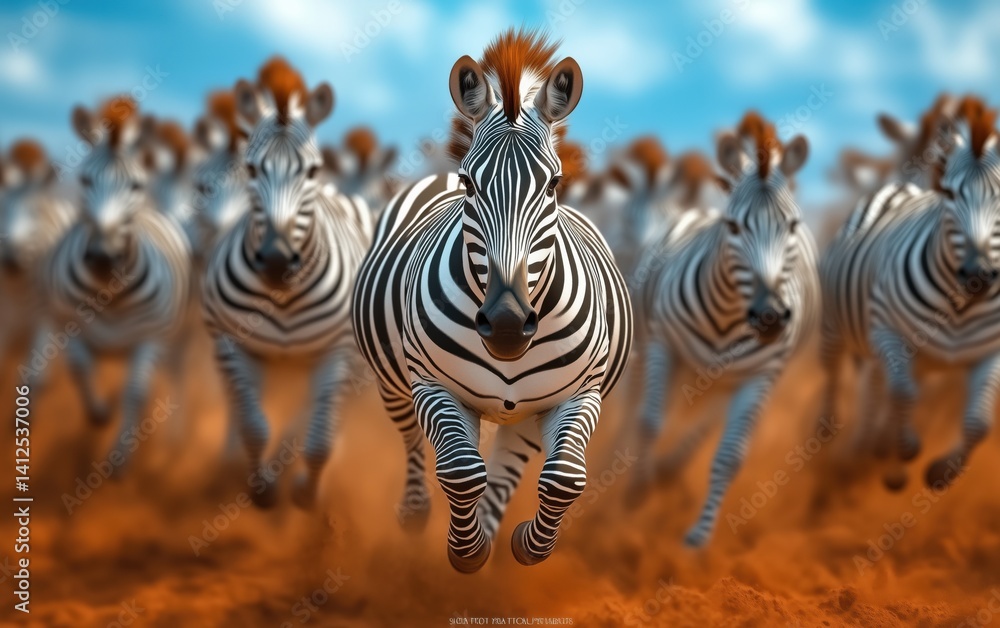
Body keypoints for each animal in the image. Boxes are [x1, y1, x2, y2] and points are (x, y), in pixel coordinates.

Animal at [46, 96, 190, 469]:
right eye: (85, 180)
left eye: (135, 186)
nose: (101, 258)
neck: (109, 294)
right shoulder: (66, 324)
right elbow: (79, 368)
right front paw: (99, 415)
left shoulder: (151, 337)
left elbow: (136, 392)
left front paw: (120, 459)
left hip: (177, 334)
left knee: (175, 375)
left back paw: (174, 441)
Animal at [201, 58, 372, 509]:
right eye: (250, 168)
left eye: (312, 170)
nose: (277, 261)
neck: (282, 296)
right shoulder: (231, 342)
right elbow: (253, 424)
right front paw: (259, 489)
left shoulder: (338, 351)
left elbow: (318, 439)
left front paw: (307, 495)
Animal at [353, 29, 632, 572]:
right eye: (469, 183)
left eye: (554, 184)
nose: (505, 323)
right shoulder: (432, 385)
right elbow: (461, 470)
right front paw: (467, 553)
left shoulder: (580, 394)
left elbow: (563, 478)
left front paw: (523, 543)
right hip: (394, 381)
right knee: (414, 440)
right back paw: (417, 513)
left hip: (523, 412)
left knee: (506, 464)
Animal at [626, 112, 819, 547]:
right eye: (733, 226)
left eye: (792, 225)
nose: (770, 316)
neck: (728, 318)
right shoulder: (663, 345)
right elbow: (648, 422)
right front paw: (634, 493)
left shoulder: (762, 373)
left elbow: (730, 456)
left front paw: (698, 538)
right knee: (632, 412)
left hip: (722, 381)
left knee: (703, 424)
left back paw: (668, 470)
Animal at [819, 96, 1000, 491]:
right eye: (949, 192)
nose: (977, 276)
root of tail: (901, 188)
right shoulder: (890, 335)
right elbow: (902, 394)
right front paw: (901, 450)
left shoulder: (990, 355)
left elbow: (980, 424)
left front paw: (939, 472)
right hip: (836, 325)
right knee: (835, 373)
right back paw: (830, 433)